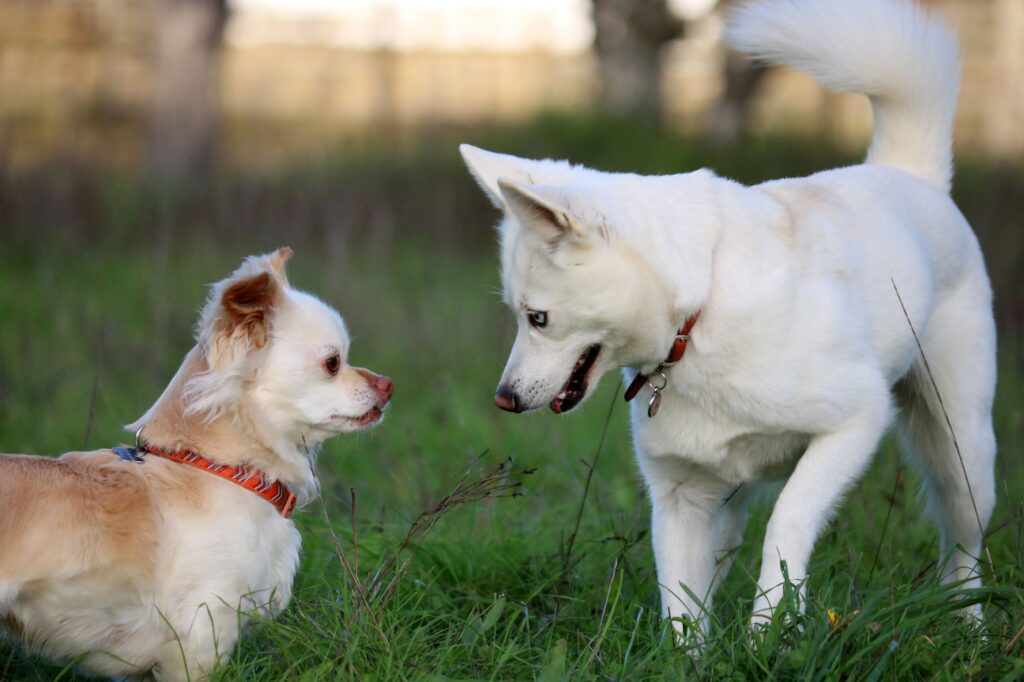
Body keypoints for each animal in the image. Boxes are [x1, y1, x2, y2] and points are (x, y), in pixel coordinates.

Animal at [460, 0, 995, 638]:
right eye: (519, 315)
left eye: (537, 317)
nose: (504, 399)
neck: (697, 316)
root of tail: (910, 174)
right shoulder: (681, 496)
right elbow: (681, 604)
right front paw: (693, 652)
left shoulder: (855, 423)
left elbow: (787, 524)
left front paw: (770, 629)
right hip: (731, 496)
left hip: (961, 453)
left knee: (963, 548)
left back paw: (969, 625)